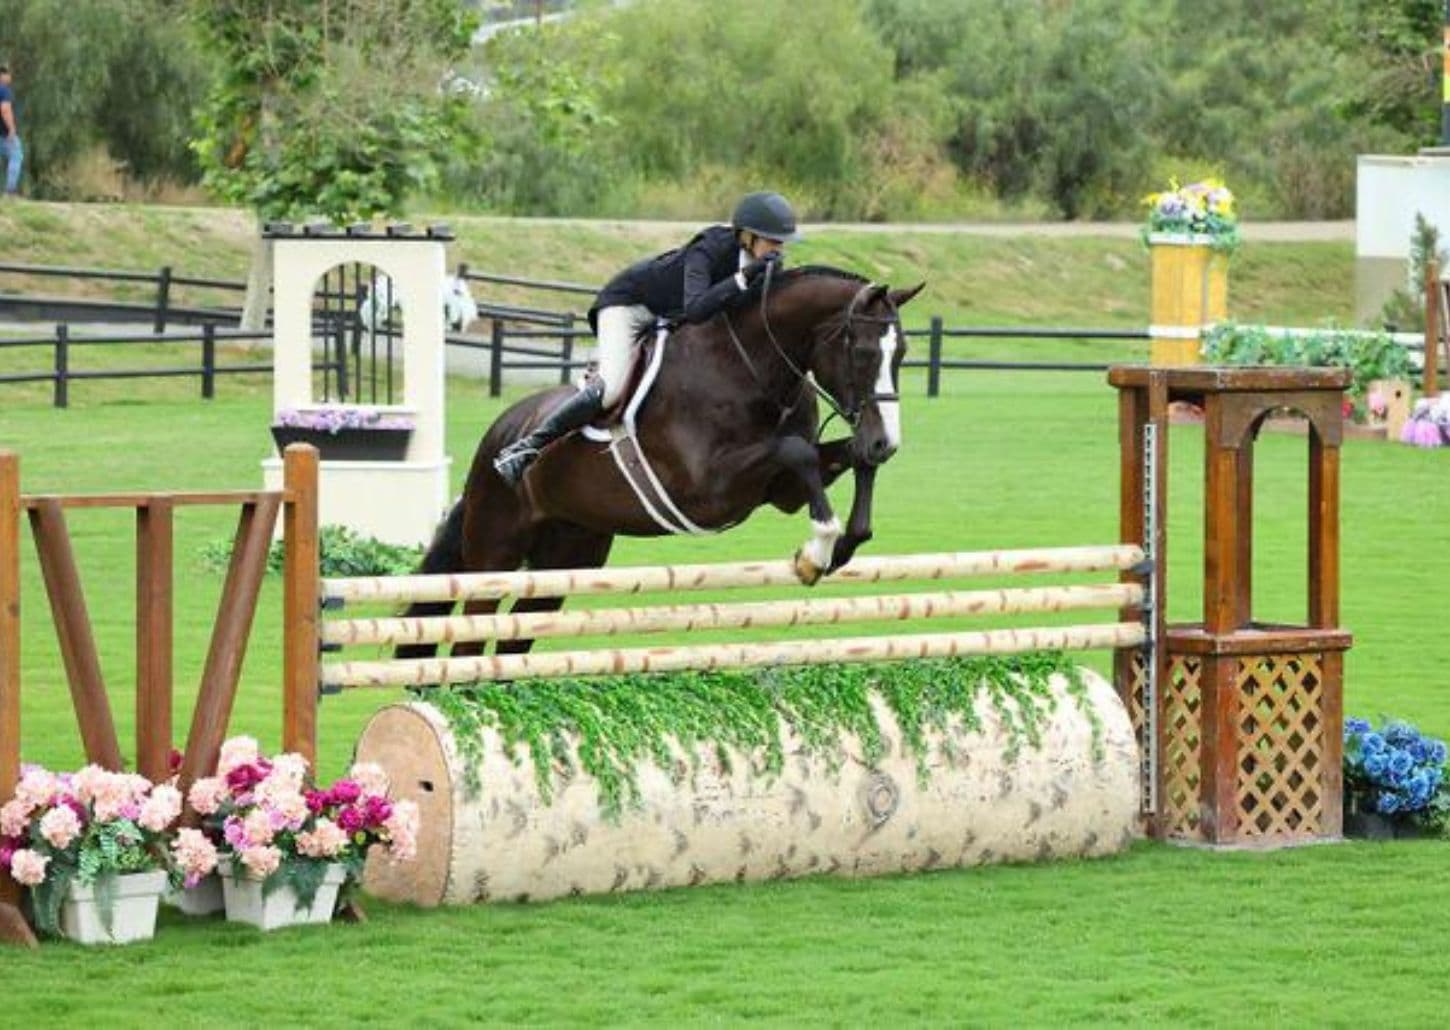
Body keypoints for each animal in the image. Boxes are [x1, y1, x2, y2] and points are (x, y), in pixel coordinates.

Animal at [397, 266, 924, 660]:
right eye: (862, 352)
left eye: (902, 352)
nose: (886, 442)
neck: (751, 367)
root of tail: (499, 435)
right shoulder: (707, 491)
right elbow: (796, 452)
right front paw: (817, 552)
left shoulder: (783, 492)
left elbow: (837, 460)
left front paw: (845, 544)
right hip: (495, 554)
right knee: (468, 640)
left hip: (565, 555)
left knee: (514, 638)